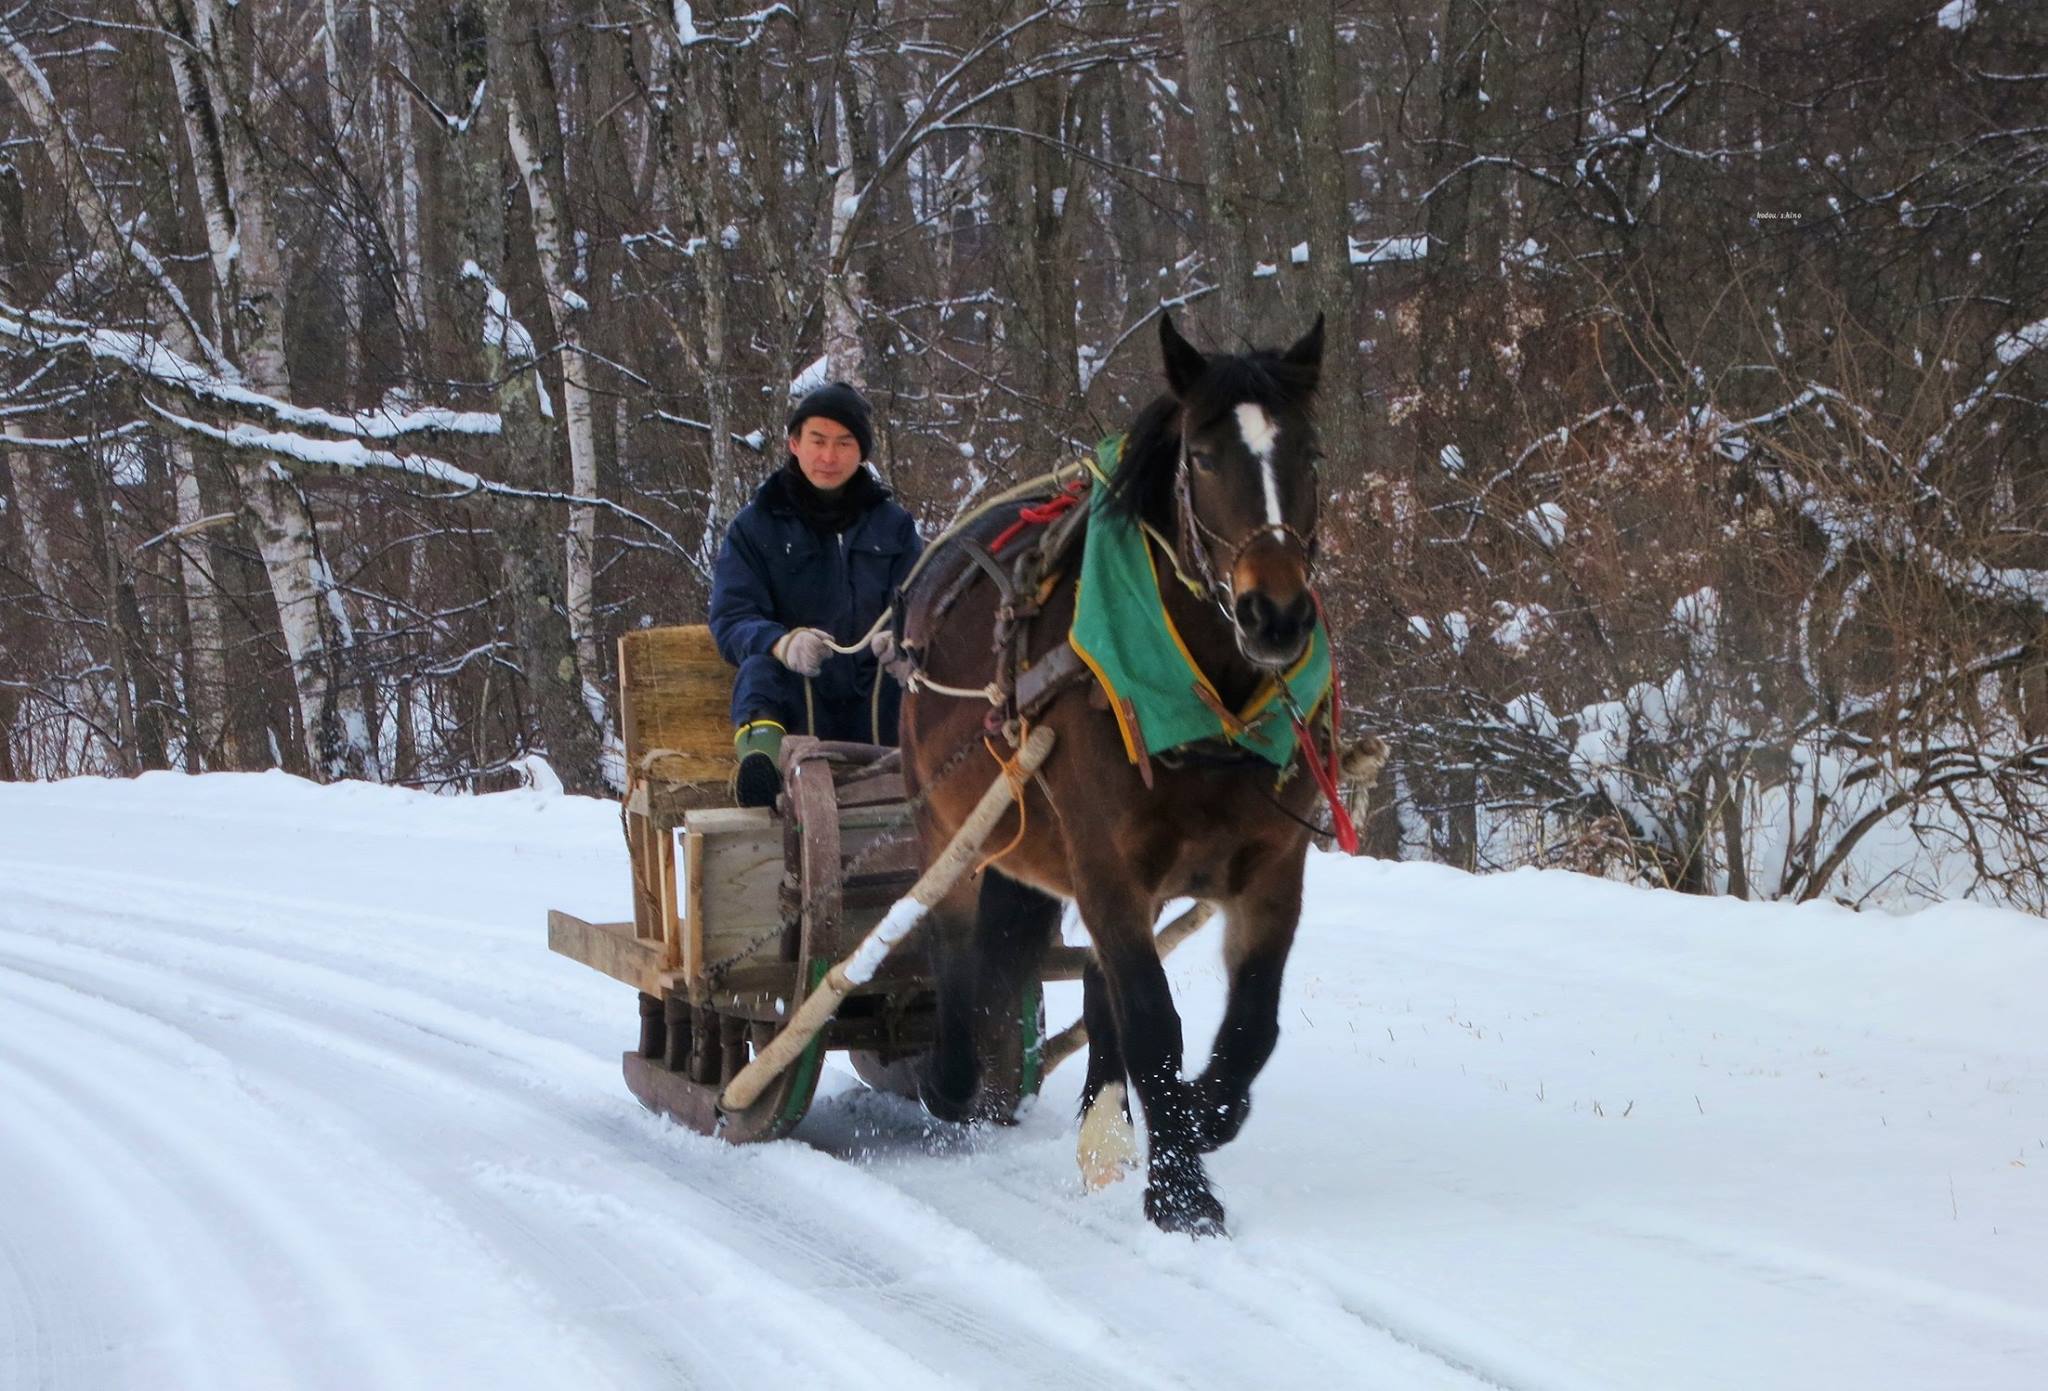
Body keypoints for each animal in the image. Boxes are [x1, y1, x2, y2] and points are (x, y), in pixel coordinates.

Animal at [898, 311, 1330, 1237]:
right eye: (1203, 456)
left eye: (1309, 452)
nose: (1275, 614)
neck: (1204, 704)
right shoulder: (1102, 859)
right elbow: (1153, 1019)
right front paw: (1182, 1194)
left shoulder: (1271, 867)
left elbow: (1249, 1026)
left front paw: (1194, 1120)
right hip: (950, 824)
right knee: (951, 943)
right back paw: (952, 1081)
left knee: (1099, 986)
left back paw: (1105, 1128)